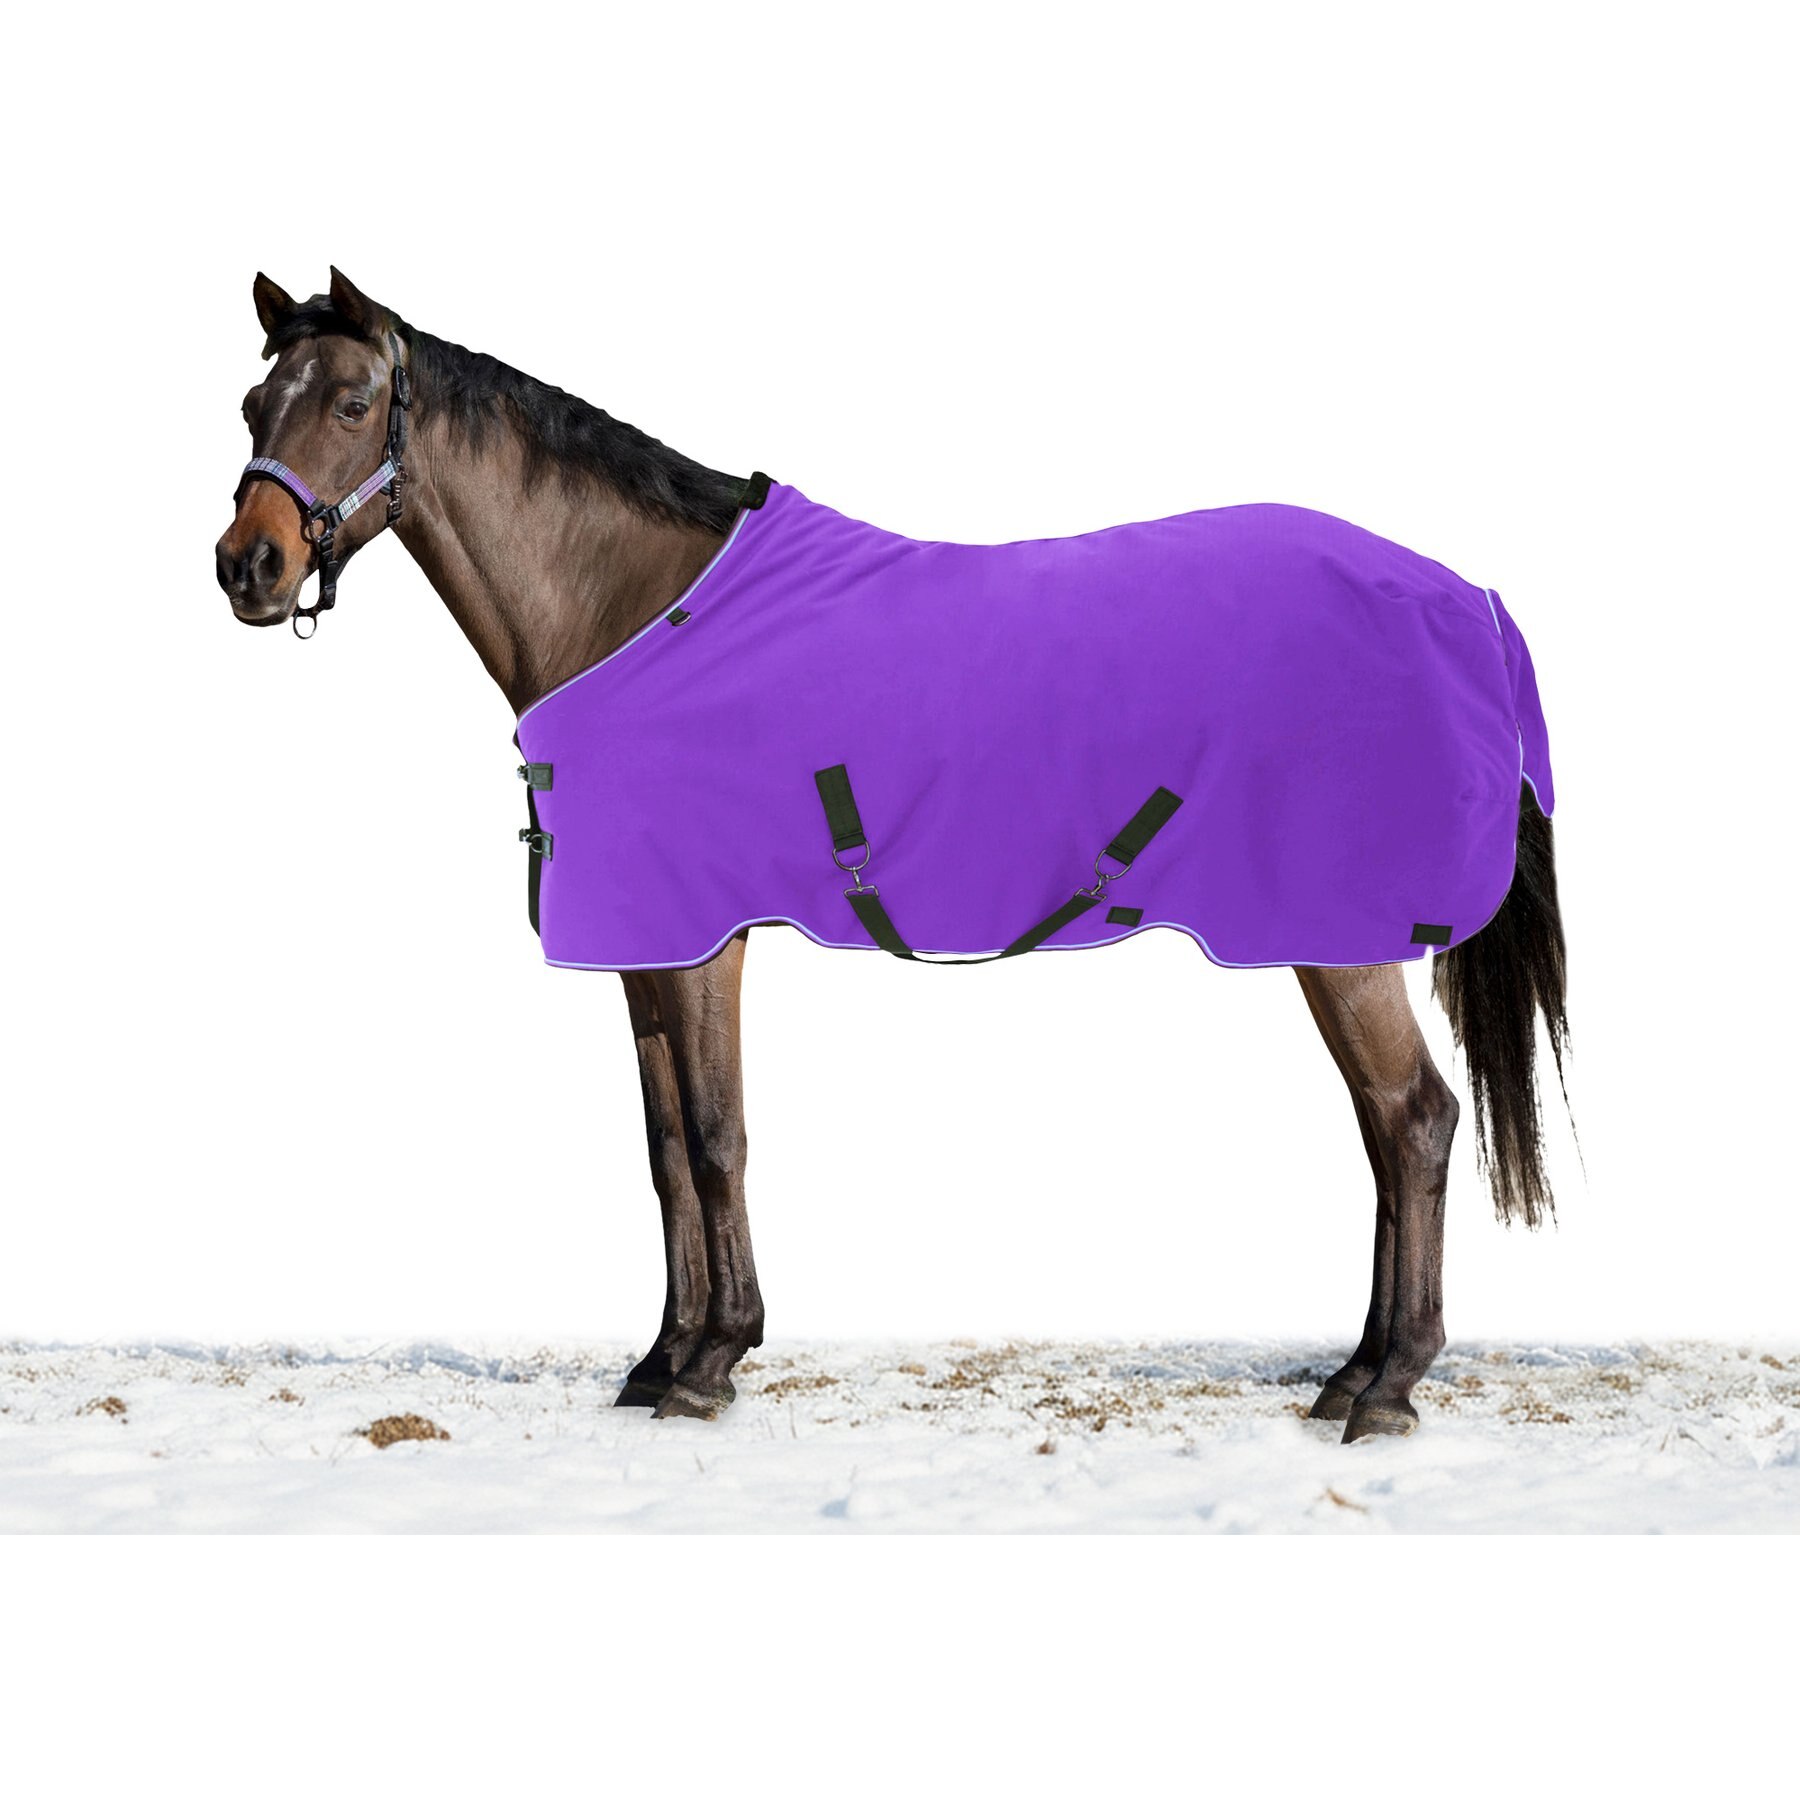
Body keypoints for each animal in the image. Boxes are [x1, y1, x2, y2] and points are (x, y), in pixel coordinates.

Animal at [216, 270, 1571, 1444]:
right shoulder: (645, 946)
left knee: (1415, 1122)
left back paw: (1386, 1391)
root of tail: (1471, 601)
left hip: (1339, 939)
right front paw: (658, 1360)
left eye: (352, 403)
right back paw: (1356, 1371)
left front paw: (712, 1362)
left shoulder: (703, 939)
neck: (633, 608)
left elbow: (717, 1133)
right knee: (1389, 1131)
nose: (248, 566)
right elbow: (662, 1153)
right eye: (251, 405)